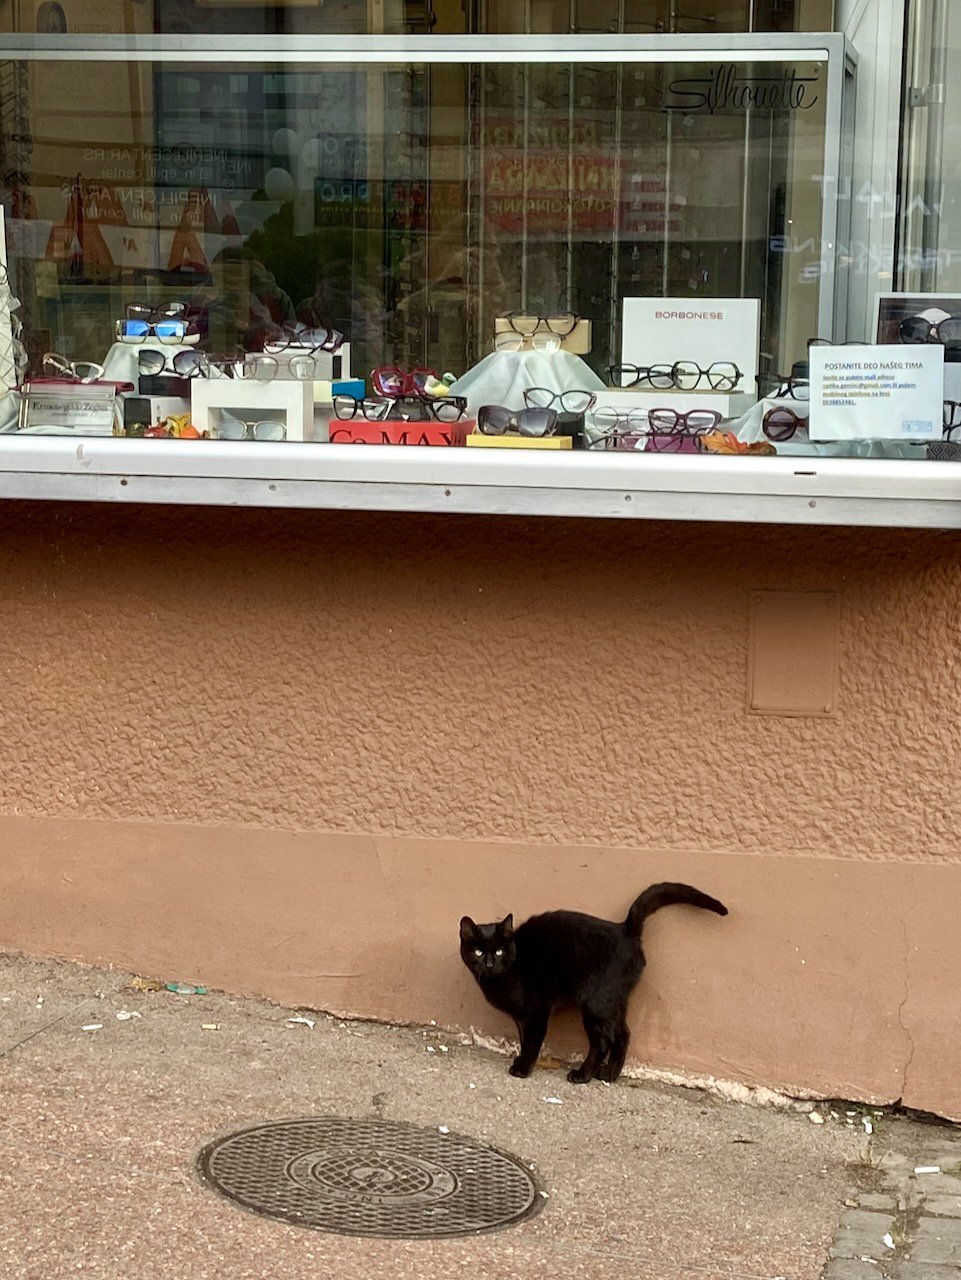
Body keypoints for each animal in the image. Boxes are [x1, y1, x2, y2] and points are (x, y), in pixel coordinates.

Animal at [459, 882, 727, 1084]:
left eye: (500, 951)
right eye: (479, 952)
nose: (490, 964)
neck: (503, 977)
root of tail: (625, 930)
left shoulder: (536, 1012)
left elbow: (532, 1041)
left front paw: (523, 1068)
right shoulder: (521, 1016)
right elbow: (524, 1038)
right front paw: (520, 1061)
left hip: (596, 1004)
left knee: (603, 1042)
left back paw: (583, 1075)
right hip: (614, 1002)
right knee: (623, 1033)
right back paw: (610, 1074)